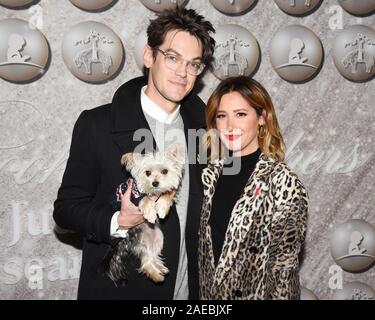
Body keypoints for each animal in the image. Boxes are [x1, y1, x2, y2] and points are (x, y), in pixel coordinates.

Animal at [105, 144, 184, 284]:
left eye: (165, 171)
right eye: (147, 173)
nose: (155, 183)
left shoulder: (168, 191)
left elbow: (166, 194)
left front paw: (162, 208)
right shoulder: (133, 196)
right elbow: (145, 198)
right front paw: (150, 212)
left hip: (158, 238)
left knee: (150, 257)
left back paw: (159, 270)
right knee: (146, 262)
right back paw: (157, 275)